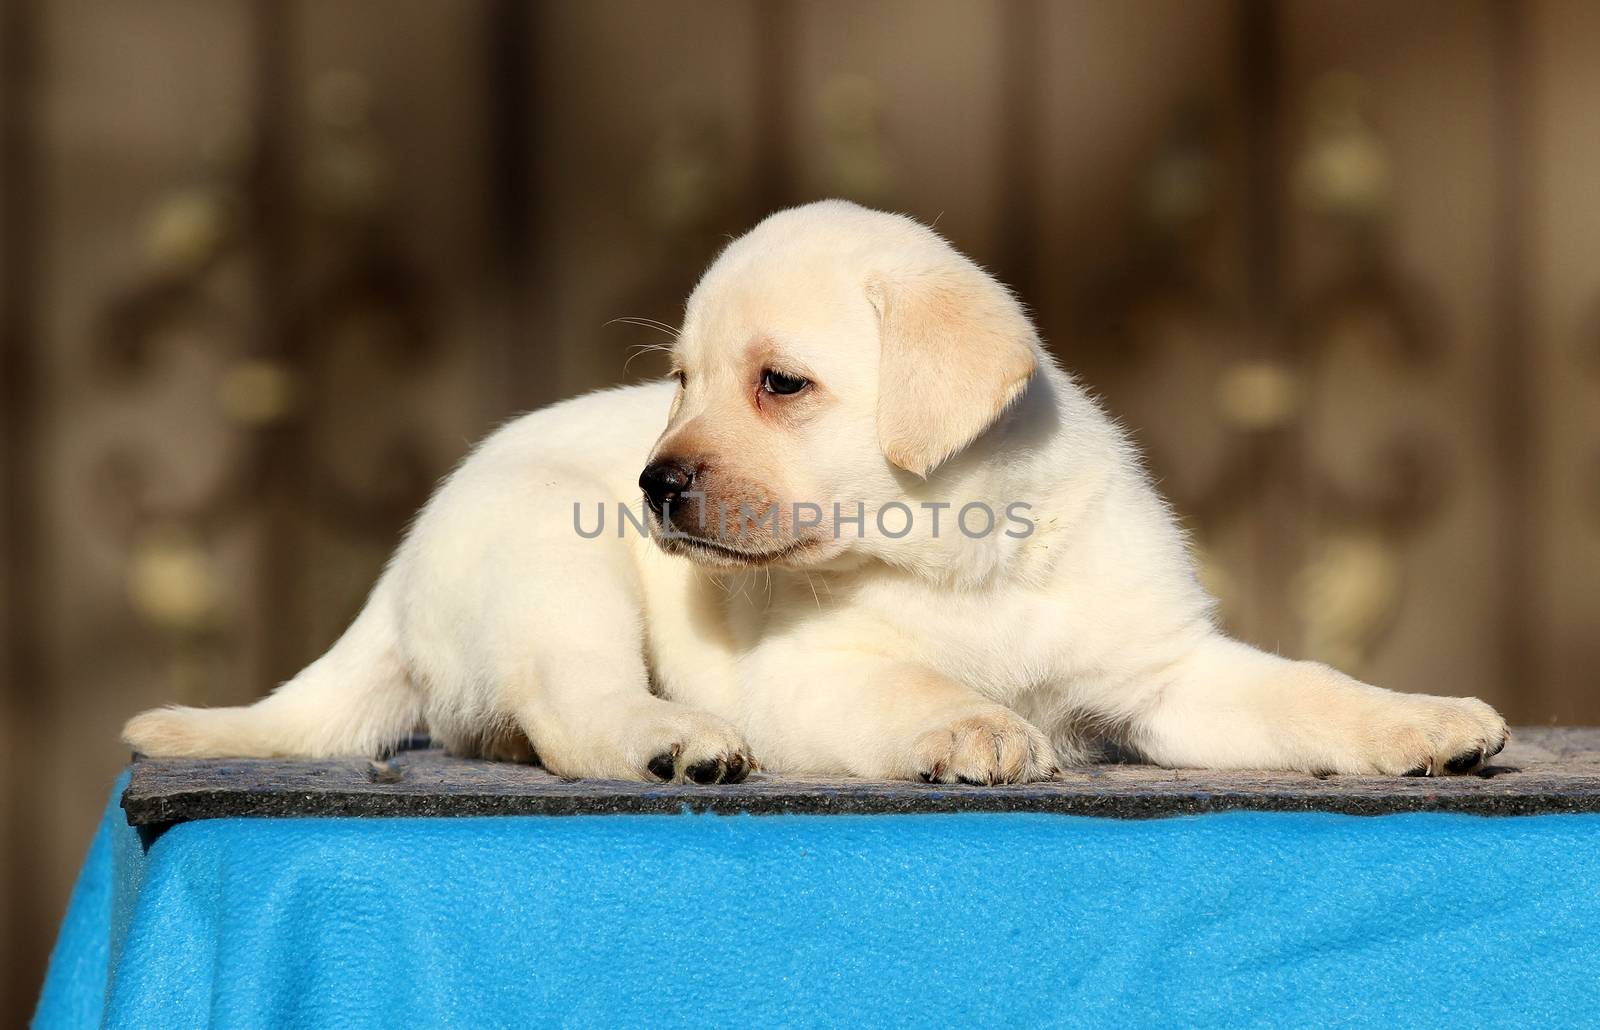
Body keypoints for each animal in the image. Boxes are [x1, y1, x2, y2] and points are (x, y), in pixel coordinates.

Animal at [121, 199, 1497, 780]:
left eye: (778, 383)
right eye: (678, 380)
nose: (653, 483)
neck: (960, 554)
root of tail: (400, 567)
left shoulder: (1165, 673)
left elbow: (1310, 692)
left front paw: (1423, 723)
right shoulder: (807, 680)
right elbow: (913, 687)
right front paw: (977, 727)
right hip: (547, 562)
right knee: (569, 708)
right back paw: (671, 742)